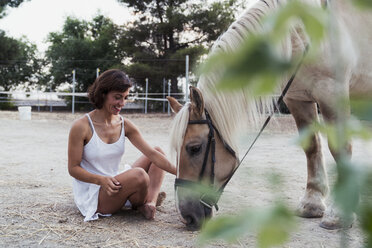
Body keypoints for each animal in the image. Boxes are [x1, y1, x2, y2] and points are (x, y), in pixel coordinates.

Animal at [167, 0, 372, 230]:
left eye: (194, 148)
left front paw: (339, 214)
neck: (302, 32)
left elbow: (339, 149)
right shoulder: (298, 100)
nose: (187, 216)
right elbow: (311, 147)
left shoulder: (332, 94)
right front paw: (311, 203)